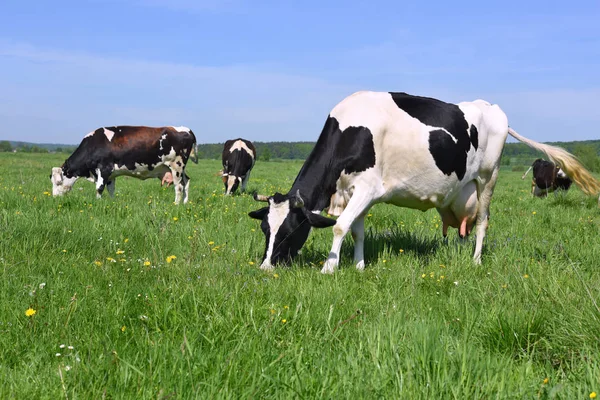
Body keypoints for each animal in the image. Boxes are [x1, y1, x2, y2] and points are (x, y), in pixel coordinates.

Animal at [50, 125, 198, 203]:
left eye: (58, 182)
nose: (54, 198)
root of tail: (186, 129)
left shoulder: (104, 169)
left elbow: (99, 188)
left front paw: (98, 203)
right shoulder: (111, 174)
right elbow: (110, 189)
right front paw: (111, 202)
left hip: (176, 165)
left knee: (179, 186)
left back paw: (176, 204)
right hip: (179, 168)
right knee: (187, 181)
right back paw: (185, 203)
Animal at [247, 91, 600, 274]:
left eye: (289, 230)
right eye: (265, 229)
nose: (265, 267)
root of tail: (491, 107)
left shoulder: (368, 188)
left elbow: (340, 227)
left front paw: (328, 270)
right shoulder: (358, 192)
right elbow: (356, 230)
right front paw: (359, 266)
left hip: (488, 178)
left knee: (483, 222)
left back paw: (475, 261)